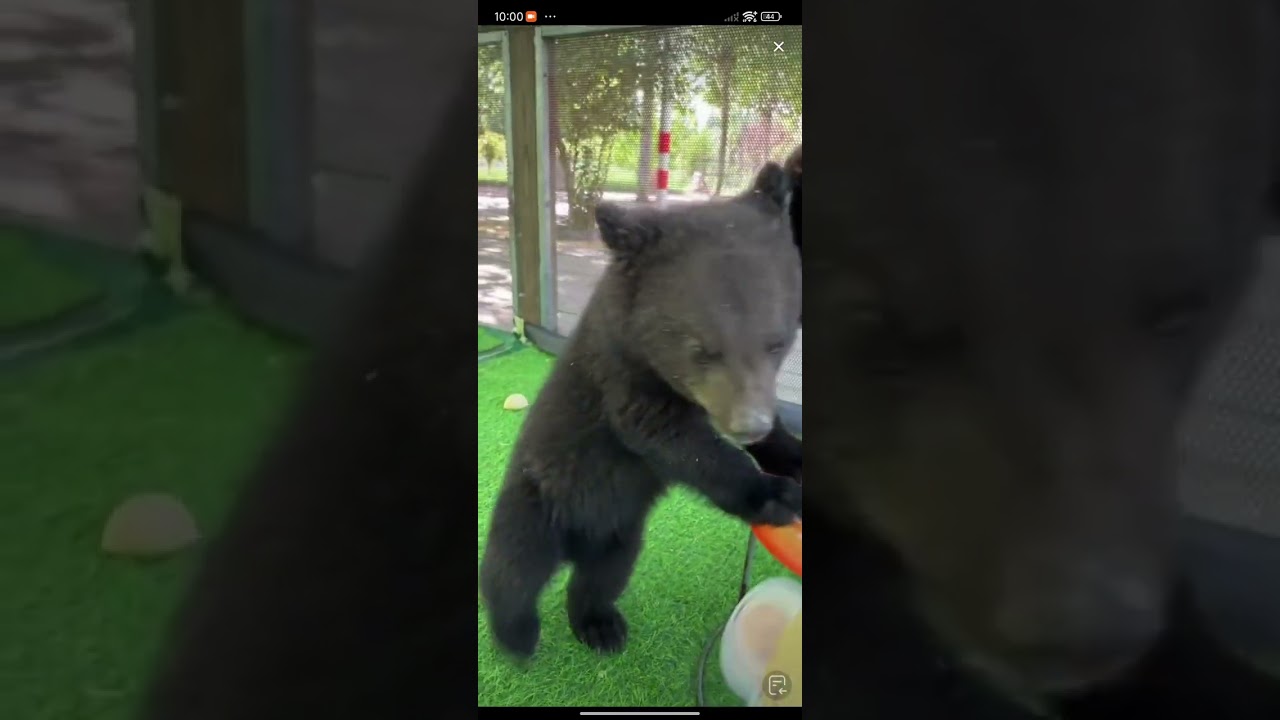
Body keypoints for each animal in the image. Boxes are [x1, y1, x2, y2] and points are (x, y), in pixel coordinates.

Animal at [479, 162, 804, 659]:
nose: (747, 426)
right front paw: (772, 493)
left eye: (777, 342)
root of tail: (575, 543)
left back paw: (599, 626)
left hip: (622, 533)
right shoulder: (620, 372)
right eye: (700, 349)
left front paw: (792, 453)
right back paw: (517, 636)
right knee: (512, 573)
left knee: (601, 578)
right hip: (532, 506)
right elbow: (674, 439)